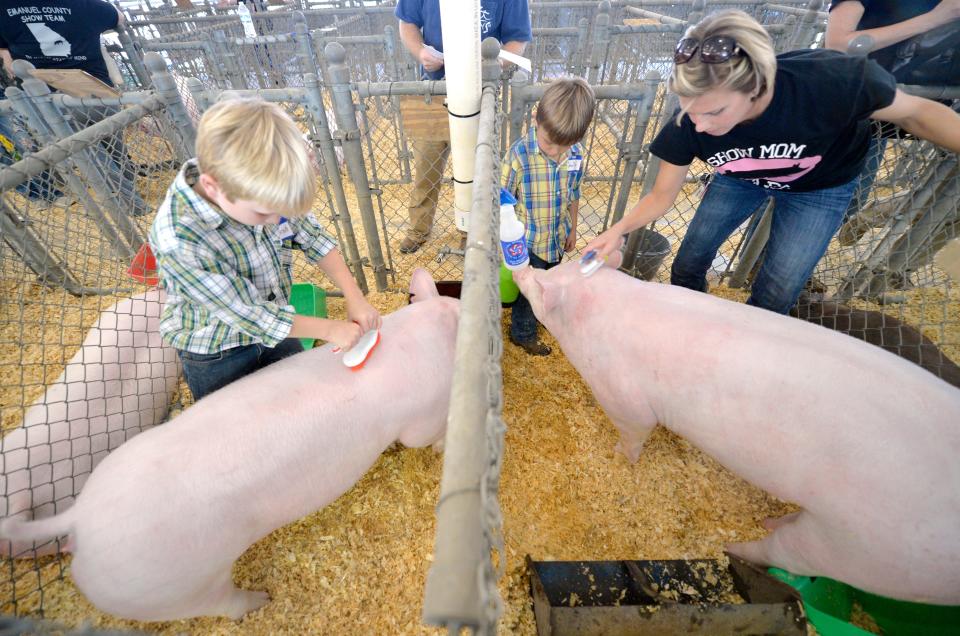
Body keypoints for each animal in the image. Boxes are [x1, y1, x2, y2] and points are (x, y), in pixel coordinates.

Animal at [516, 258, 960, 608]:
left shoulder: (624, 396)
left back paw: (733, 547)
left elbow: (634, 432)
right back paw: (768, 521)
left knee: (782, 553)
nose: (525, 270)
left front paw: (616, 456)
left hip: (868, 548)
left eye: (545, 284)